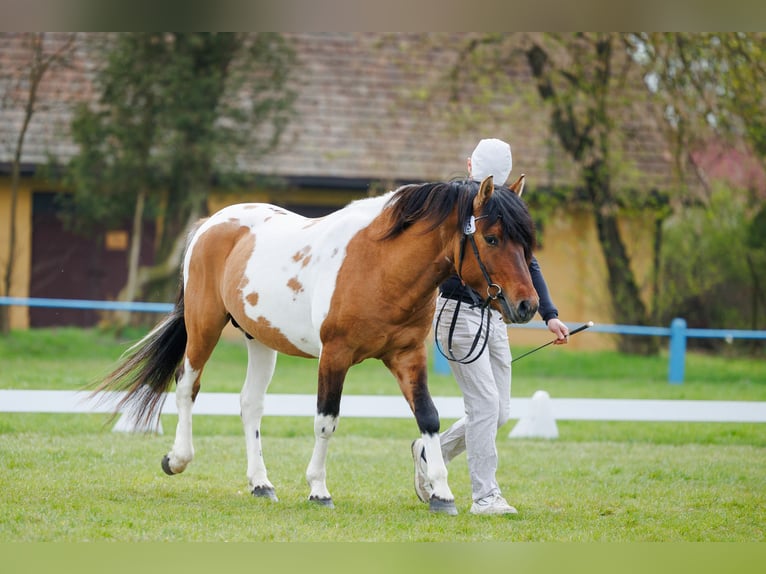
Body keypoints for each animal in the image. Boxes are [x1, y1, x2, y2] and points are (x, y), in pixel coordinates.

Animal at [95, 174, 539, 515]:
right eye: (492, 238)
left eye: (525, 242)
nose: (527, 305)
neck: (381, 265)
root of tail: (213, 222)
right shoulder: (335, 356)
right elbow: (327, 421)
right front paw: (318, 490)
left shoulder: (407, 356)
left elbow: (428, 418)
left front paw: (442, 493)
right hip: (204, 325)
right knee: (188, 386)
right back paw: (178, 459)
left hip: (260, 339)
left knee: (250, 404)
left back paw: (261, 483)